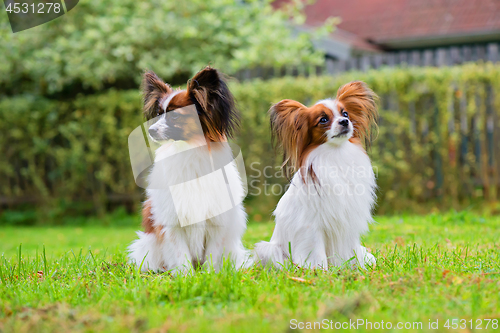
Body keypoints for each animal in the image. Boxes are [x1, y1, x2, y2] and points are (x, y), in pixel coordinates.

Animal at [127, 67, 248, 272]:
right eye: (158, 114)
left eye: (175, 116)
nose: (150, 130)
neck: (188, 151)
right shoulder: (172, 223)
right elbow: (180, 255)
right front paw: (186, 276)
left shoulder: (216, 223)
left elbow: (212, 255)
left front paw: (209, 275)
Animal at [256, 81, 376, 268]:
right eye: (323, 120)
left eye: (345, 113)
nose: (345, 121)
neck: (336, 154)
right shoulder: (312, 225)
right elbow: (316, 252)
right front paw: (320, 271)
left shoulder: (347, 222)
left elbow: (351, 251)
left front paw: (355, 269)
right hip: (269, 249)